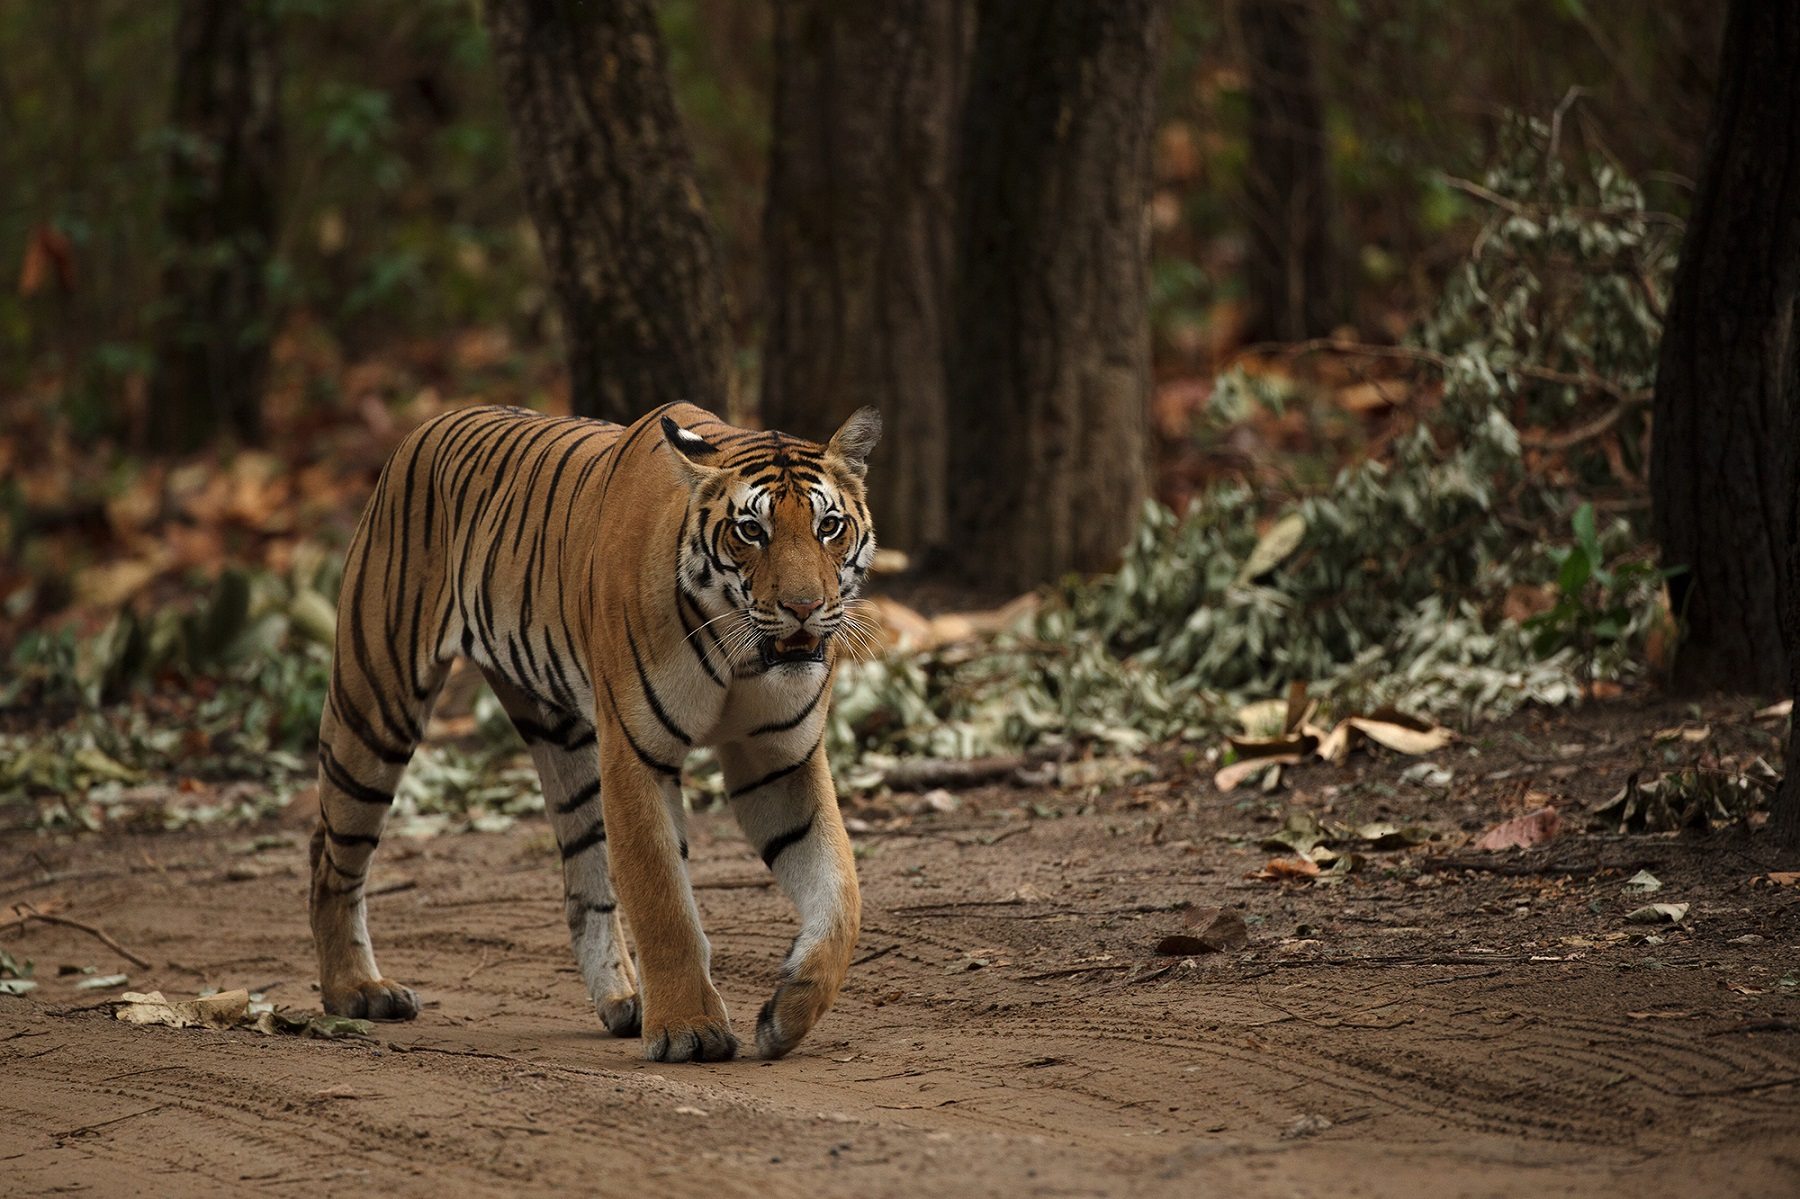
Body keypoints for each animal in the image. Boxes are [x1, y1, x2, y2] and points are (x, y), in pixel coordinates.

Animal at [311, 399, 885, 1058]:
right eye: (750, 531)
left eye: (829, 526)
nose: (802, 608)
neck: (741, 654)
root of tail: (426, 426)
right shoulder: (636, 753)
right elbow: (662, 898)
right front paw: (689, 1030)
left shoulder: (780, 760)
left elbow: (842, 897)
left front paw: (787, 1012)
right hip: (375, 707)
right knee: (330, 856)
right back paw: (357, 990)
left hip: (563, 740)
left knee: (583, 884)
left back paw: (624, 1000)